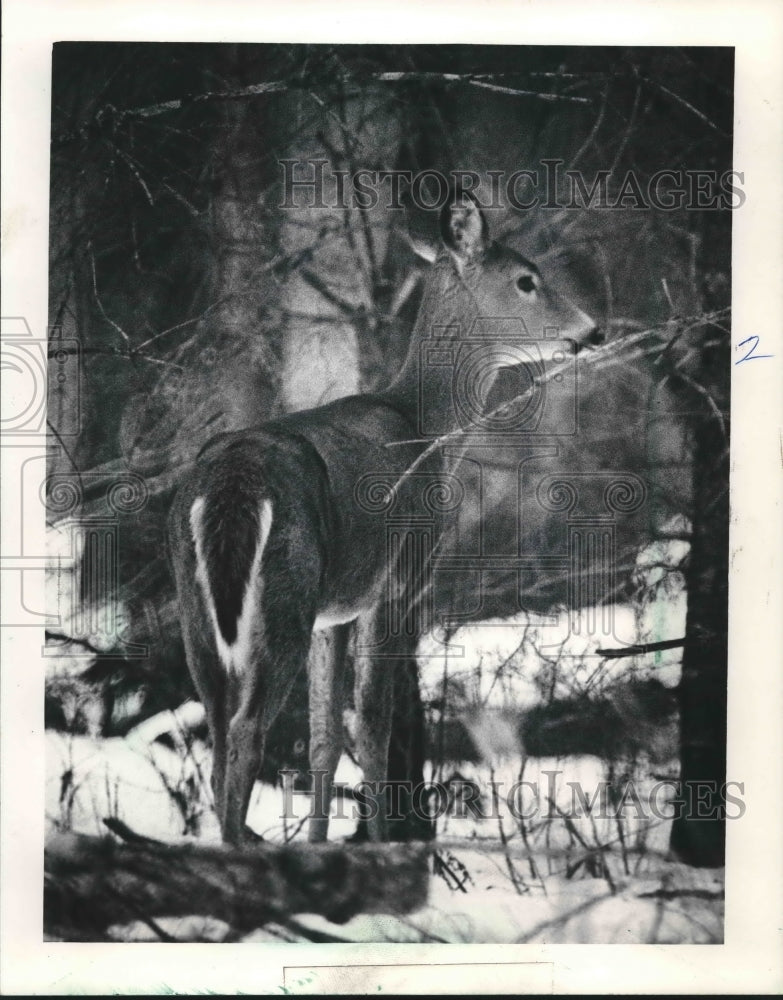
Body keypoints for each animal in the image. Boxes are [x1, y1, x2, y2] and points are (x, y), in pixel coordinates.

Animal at [167, 189, 597, 845]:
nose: (593, 329)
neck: (425, 424)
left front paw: (320, 844)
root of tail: (231, 485)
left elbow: (323, 737)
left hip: (198, 602)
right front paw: (380, 840)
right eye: (527, 280)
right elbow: (372, 725)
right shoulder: (397, 582)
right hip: (285, 591)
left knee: (218, 731)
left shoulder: (334, 609)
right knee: (244, 732)